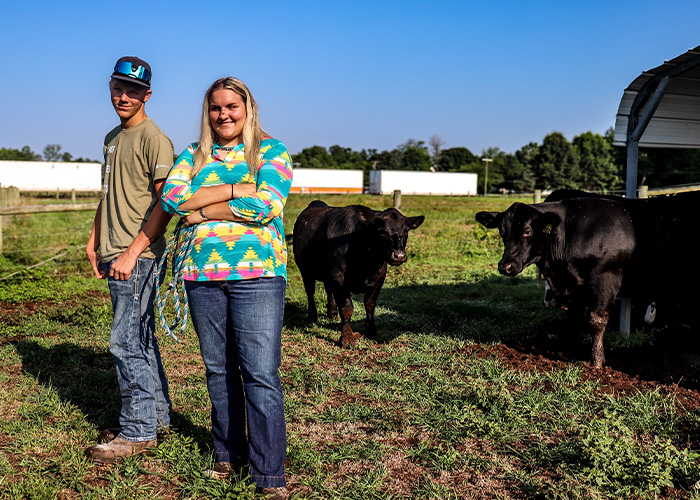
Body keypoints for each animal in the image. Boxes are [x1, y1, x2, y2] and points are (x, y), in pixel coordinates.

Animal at [292, 199, 424, 348]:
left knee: (328, 289)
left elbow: (370, 305)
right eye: (382, 231)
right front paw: (347, 338)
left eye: (406, 231)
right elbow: (347, 308)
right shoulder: (338, 278)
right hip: (304, 269)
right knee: (310, 292)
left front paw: (371, 331)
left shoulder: (379, 278)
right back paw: (312, 316)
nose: (399, 256)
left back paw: (332, 312)